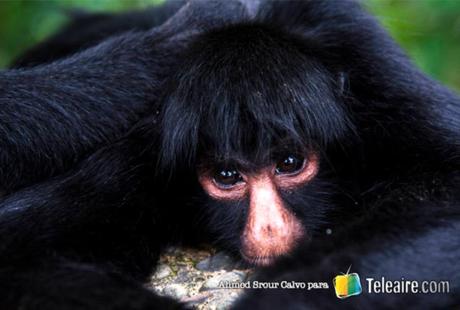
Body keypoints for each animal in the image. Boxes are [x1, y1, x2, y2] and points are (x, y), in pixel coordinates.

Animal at [0, 0, 460, 310]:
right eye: (226, 177)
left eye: (289, 163)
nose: (270, 228)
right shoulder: (137, 156)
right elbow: (21, 252)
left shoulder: (375, 80)